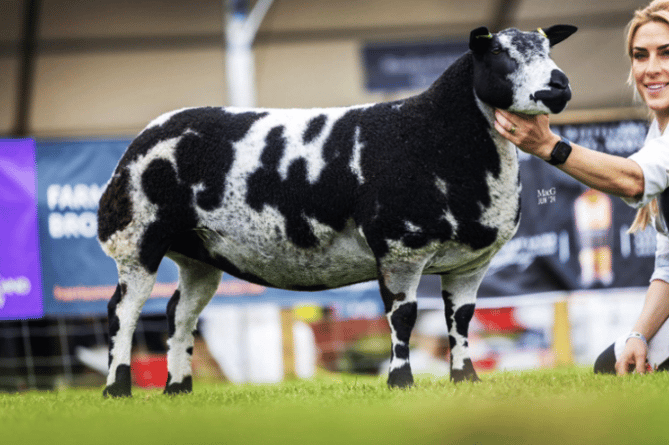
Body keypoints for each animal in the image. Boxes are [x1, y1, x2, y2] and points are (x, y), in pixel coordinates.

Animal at [98, 24, 576, 396]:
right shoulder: (400, 248)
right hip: (136, 238)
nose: (559, 85)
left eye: (548, 48)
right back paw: (116, 389)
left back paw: (177, 388)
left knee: (179, 313)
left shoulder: (470, 263)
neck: (434, 134)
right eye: (499, 53)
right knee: (123, 311)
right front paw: (400, 382)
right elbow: (403, 317)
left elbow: (460, 319)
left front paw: (466, 379)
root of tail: (146, 134)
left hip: (198, 255)